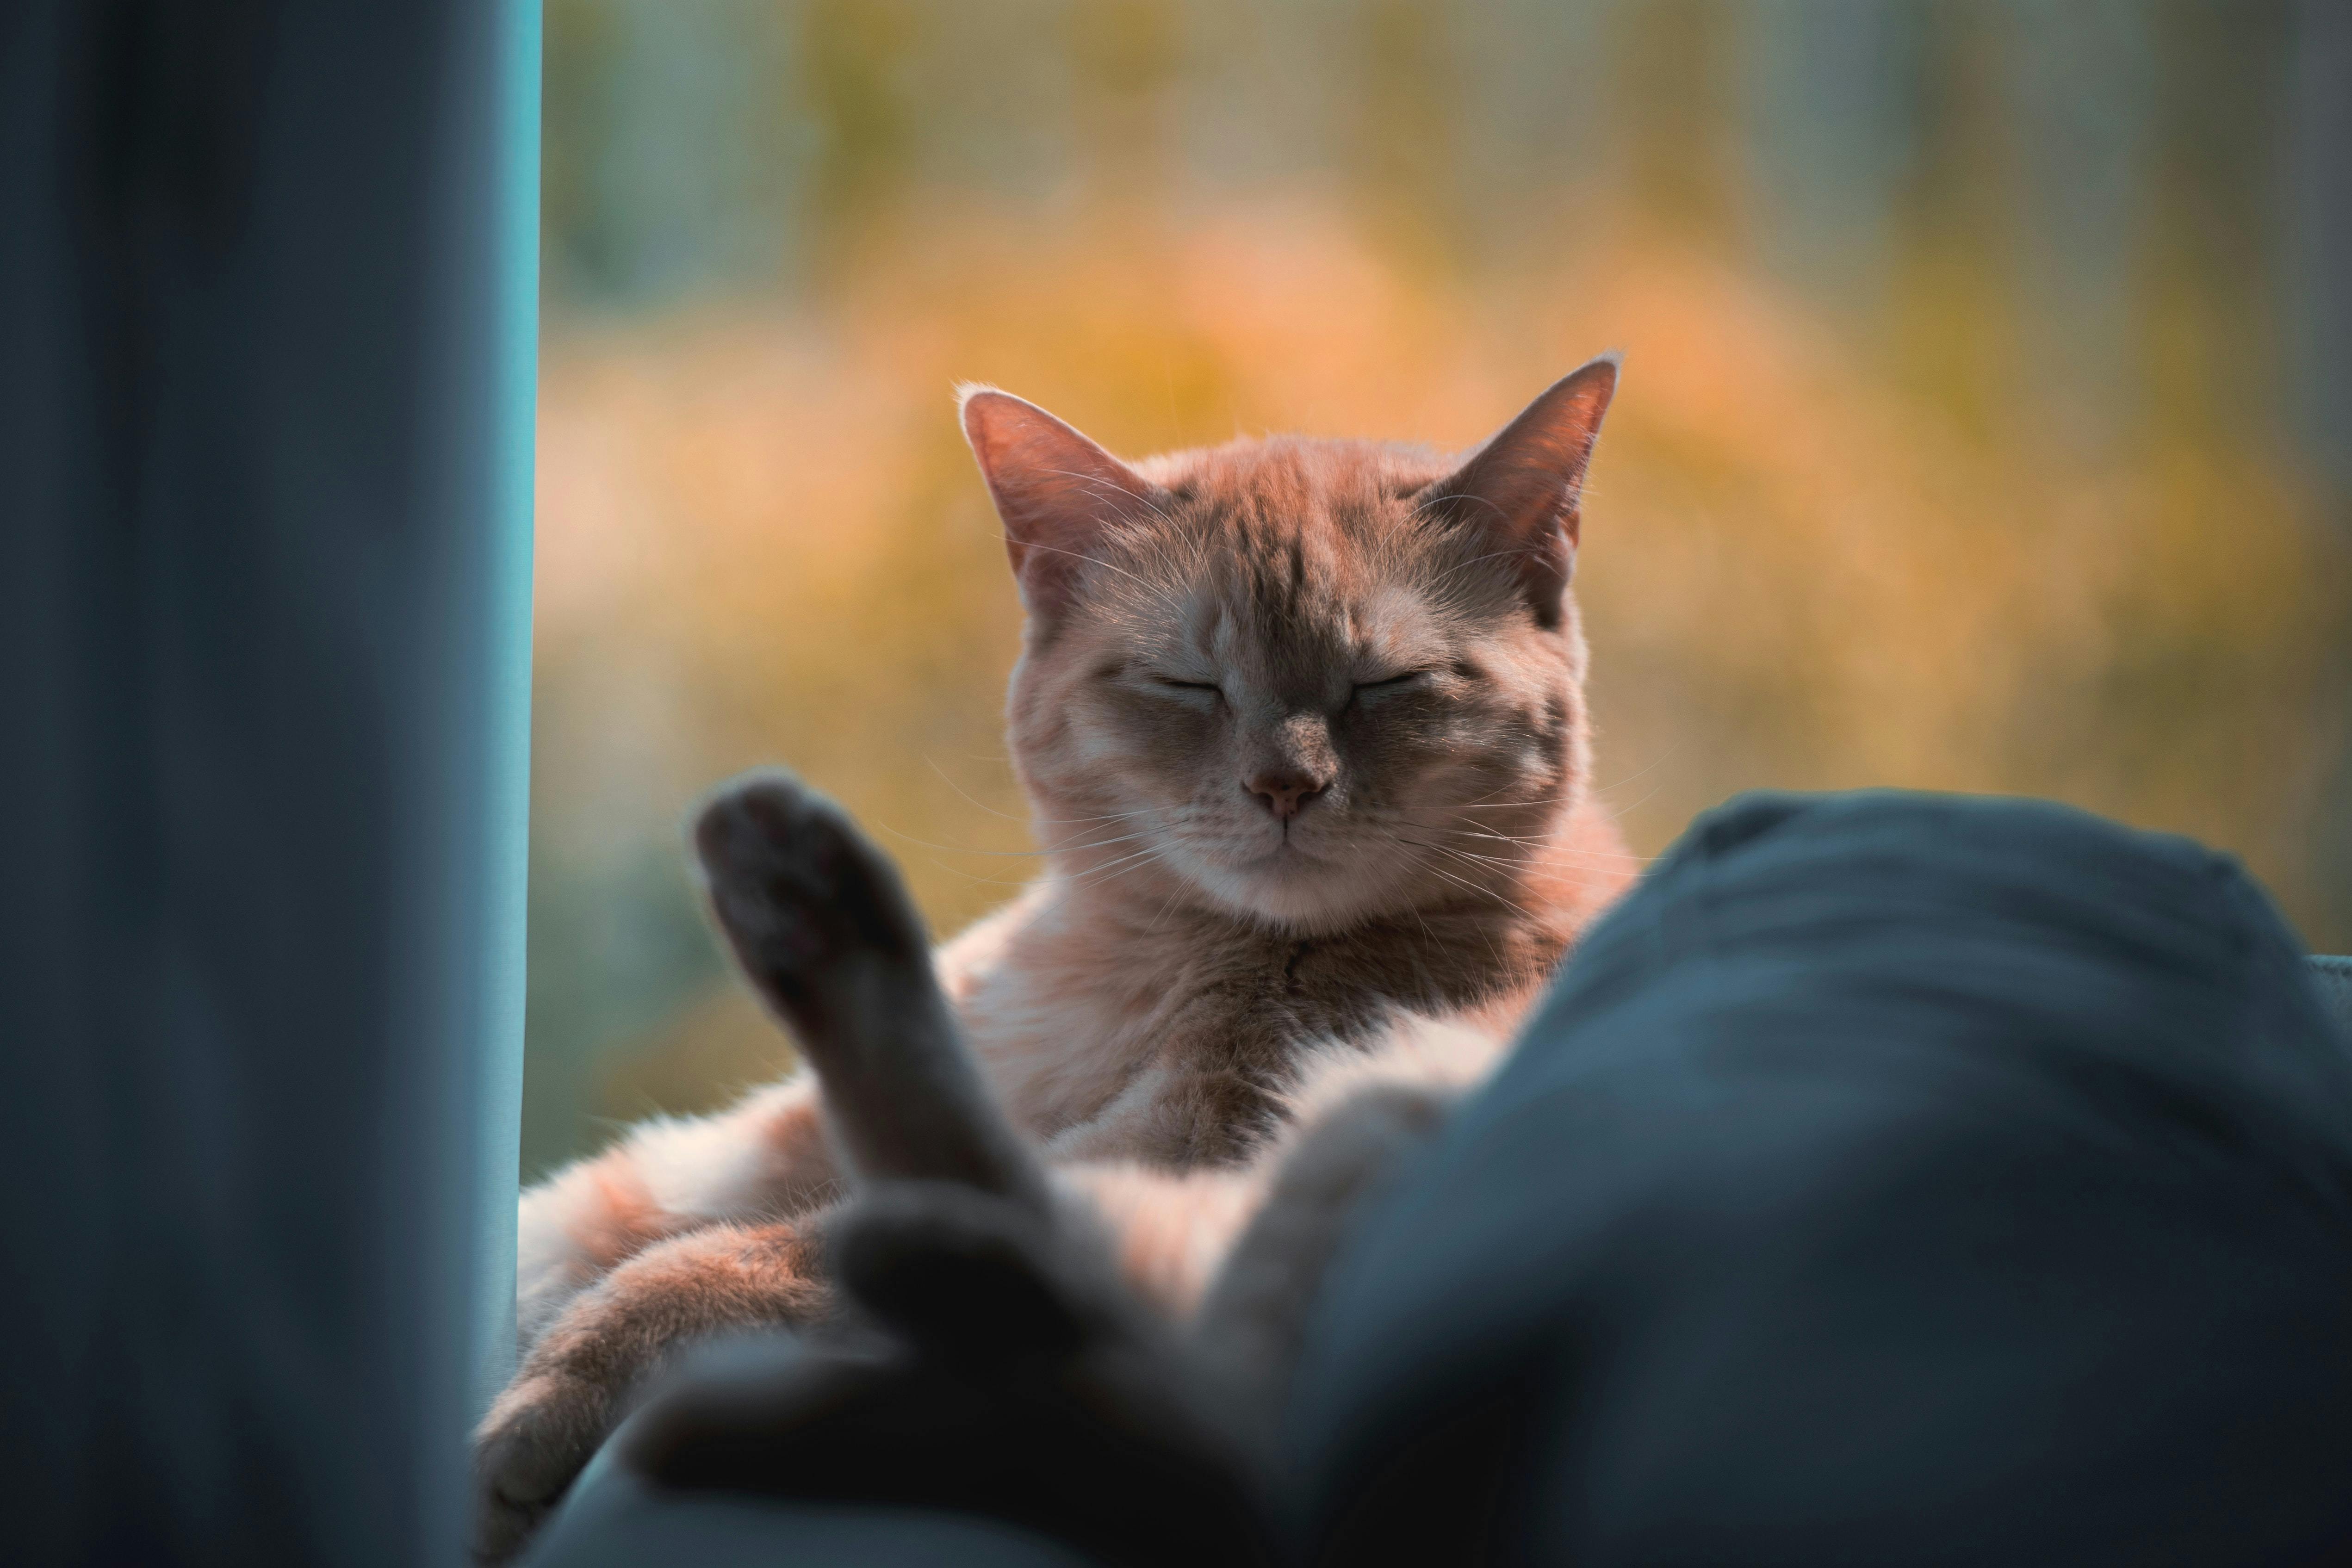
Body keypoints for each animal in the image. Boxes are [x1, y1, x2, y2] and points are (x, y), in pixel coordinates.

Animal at [472, 353, 1637, 1561]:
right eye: (1189, 684)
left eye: (1387, 684)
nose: (1286, 785)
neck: (1128, 959)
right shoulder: (746, 1146)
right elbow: (580, 1210)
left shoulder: (1174, 1139)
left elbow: (703, 1261)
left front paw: (555, 1390)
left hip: (1339, 1141)